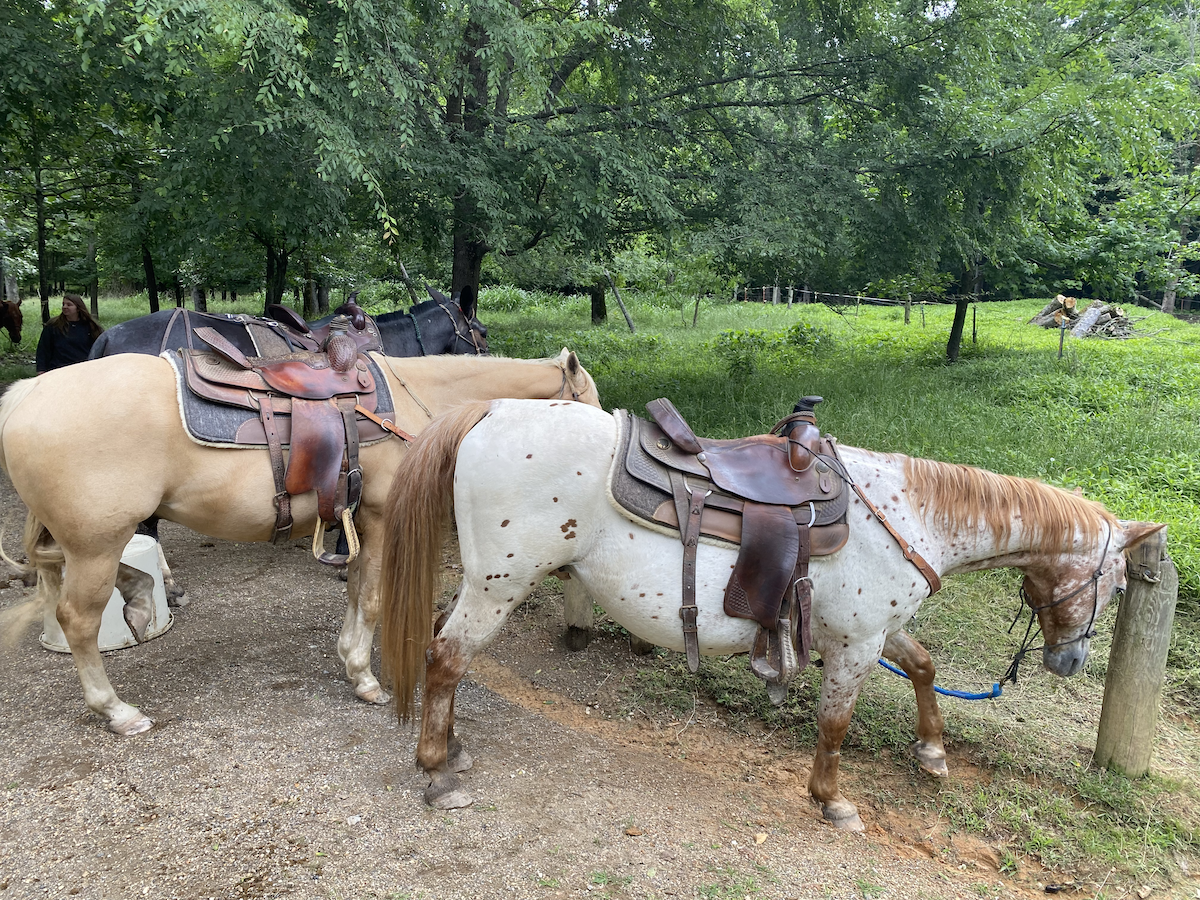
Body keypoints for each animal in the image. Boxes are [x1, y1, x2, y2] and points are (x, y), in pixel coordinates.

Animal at [0, 350, 599, 737]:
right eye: (587, 402)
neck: (423, 401)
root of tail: (25, 396)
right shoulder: (381, 519)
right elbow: (373, 598)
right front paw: (365, 678)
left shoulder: (358, 522)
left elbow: (356, 591)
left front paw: (350, 662)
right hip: (97, 543)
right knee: (77, 619)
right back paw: (117, 710)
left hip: (83, 540)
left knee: (63, 580)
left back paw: (143, 598)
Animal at [376, 399, 1164, 829]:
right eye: (1119, 582)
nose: (1071, 660)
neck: (912, 514)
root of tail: (493, 410)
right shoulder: (855, 643)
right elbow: (836, 722)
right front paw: (831, 800)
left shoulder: (876, 631)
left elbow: (924, 666)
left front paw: (933, 753)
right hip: (497, 586)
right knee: (445, 657)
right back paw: (437, 771)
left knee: (449, 659)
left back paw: (452, 748)